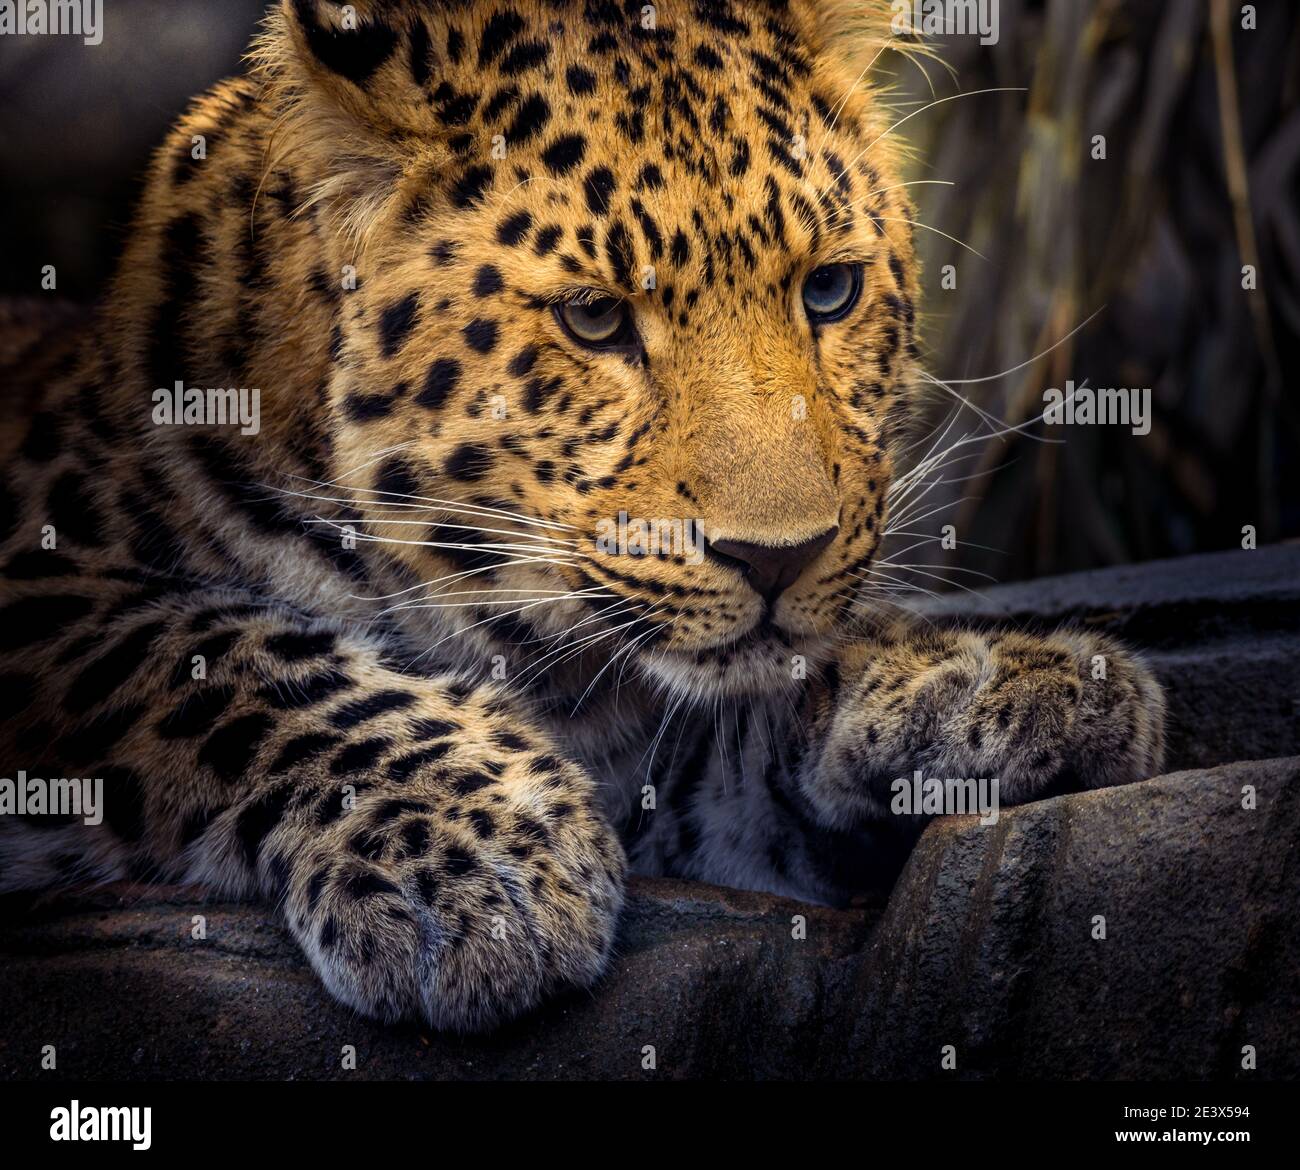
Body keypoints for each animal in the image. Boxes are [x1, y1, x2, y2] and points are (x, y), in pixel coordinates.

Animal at [0, 0, 1170, 1024]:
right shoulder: (53, 583)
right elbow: (232, 655)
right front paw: (476, 862)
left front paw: (999, 680)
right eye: (596, 319)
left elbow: (733, 743)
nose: (780, 559)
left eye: (829, 292)